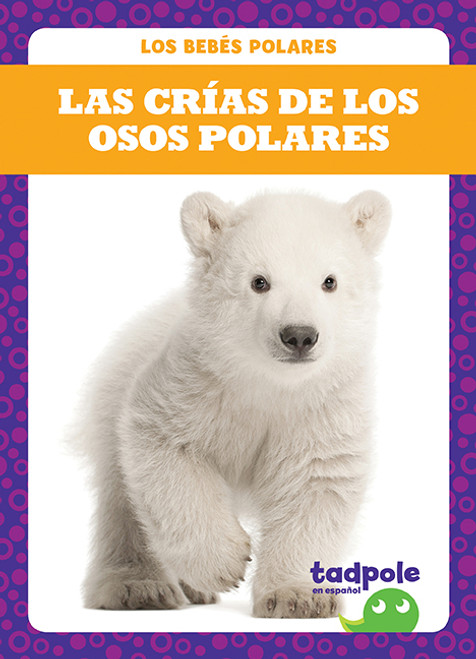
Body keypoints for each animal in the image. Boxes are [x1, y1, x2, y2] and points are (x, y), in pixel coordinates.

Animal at [80, 188, 391, 617]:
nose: (299, 335)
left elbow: (315, 483)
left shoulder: (321, 409)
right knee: (123, 508)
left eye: (330, 281)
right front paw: (225, 563)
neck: (268, 383)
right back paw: (140, 588)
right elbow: (168, 452)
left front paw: (298, 597)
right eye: (259, 281)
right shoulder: (194, 384)